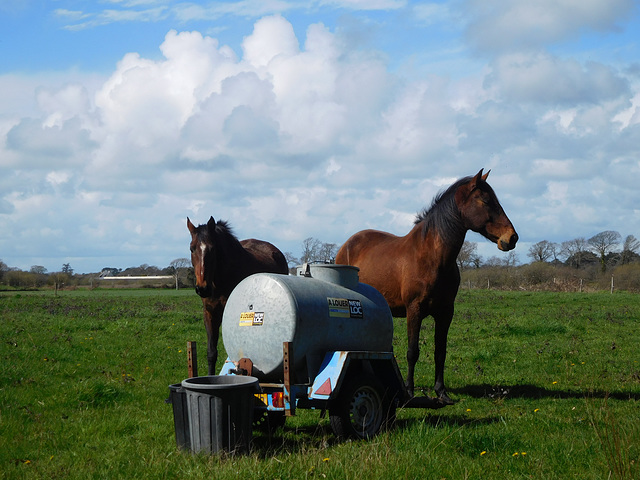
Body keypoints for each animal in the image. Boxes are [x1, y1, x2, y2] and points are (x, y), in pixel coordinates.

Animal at [338, 171, 516, 404]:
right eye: (485, 200)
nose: (512, 237)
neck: (433, 258)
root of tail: (347, 244)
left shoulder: (445, 313)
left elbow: (440, 351)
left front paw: (441, 392)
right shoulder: (415, 310)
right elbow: (412, 352)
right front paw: (409, 391)